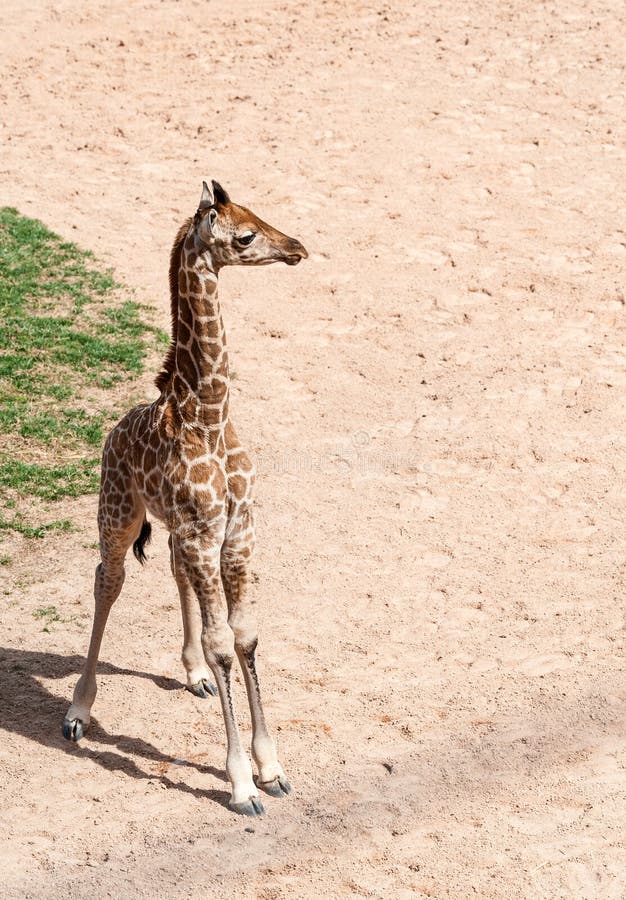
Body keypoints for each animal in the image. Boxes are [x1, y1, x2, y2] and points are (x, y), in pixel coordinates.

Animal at [62, 180, 308, 816]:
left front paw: (273, 767)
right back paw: (77, 712)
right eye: (243, 235)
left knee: (172, 572)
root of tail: (113, 429)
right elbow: (225, 643)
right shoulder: (204, 533)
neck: (211, 416)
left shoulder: (235, 531)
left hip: (174, 529)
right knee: (108, 580)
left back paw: (191, 672)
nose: (296, 248)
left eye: (259, 216)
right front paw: (242, 784)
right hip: (118, 513)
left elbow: (244, 635)